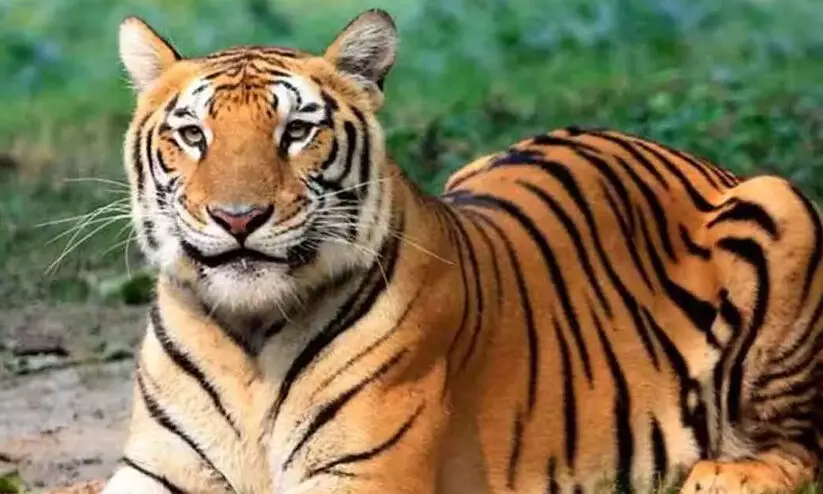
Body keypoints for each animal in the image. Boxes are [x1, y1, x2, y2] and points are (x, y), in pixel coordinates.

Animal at [102, 7, 823, 494]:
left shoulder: (360, 475)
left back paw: (724, 475)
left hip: (780, 204)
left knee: (801, 445)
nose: (239, 217)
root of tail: (692, 157)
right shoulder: (154, 469)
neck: (246, 335)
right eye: (192, 135)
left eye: (297, 131)